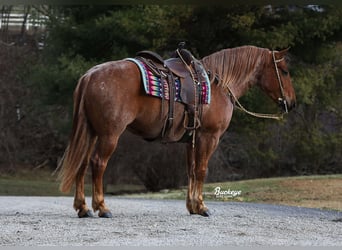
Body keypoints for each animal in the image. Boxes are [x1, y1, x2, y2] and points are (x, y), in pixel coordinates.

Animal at [57, 46, 296, 218]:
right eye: (284, 71)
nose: (291, 103)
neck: (218, 85)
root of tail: (90, 75)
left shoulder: (191, 139)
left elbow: (191, 171)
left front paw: (192, 206)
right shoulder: (209, 137)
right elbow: (201, 170)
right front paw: (202, 206)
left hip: (91, 133)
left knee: (82, 164)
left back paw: (83, 208)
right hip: (109, 135)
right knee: (98, 164)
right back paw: (102, 207)